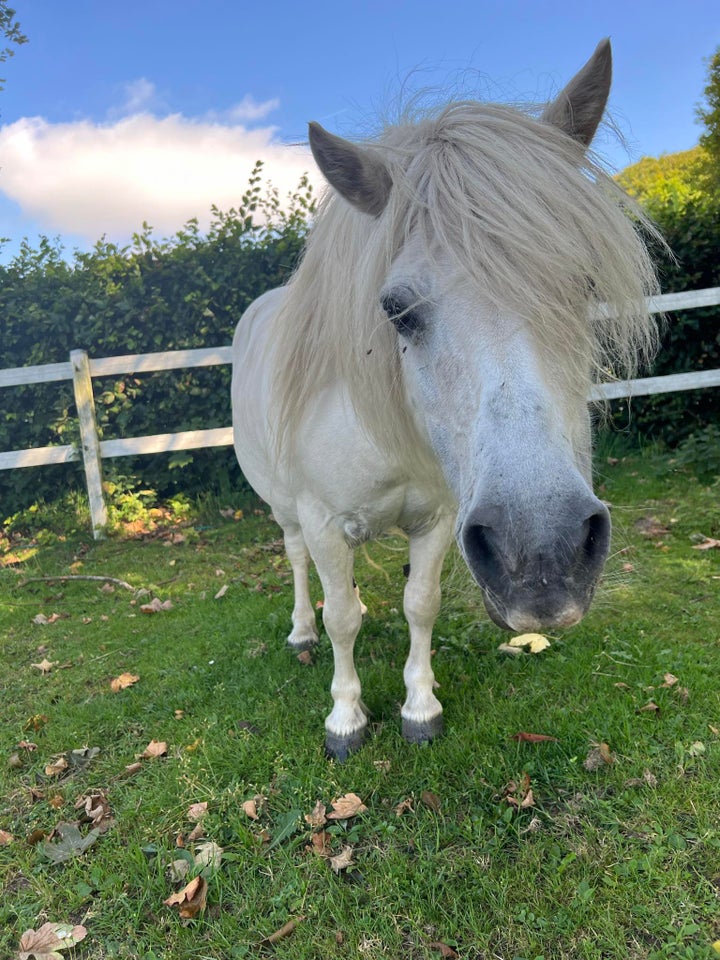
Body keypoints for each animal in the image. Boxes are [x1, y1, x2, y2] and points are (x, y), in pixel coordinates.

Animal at [233, 41, 660, 760]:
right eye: (396, 310)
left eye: (585, 285)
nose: (542, 558)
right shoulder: (321, 518)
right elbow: (340, 616)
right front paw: (345, 717)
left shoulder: (438, 519)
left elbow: (419, 604)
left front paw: (420, 706)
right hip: (285, 508)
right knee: (297, 564)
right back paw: (300, 632)